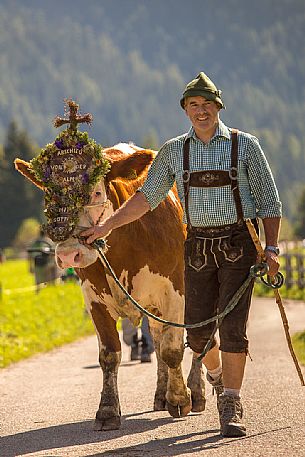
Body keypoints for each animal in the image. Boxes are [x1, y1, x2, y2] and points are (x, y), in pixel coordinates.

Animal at [14, 141, 204, 430]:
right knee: (157, 339)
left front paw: (180, 399)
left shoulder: (176, 292)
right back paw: (161, 395)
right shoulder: (94, 300)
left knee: (201, 338)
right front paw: (107, 410)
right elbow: (110, 355)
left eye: (95, 192)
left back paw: (198, 392)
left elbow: (173, 350)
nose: (68, 255)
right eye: (49, 198)